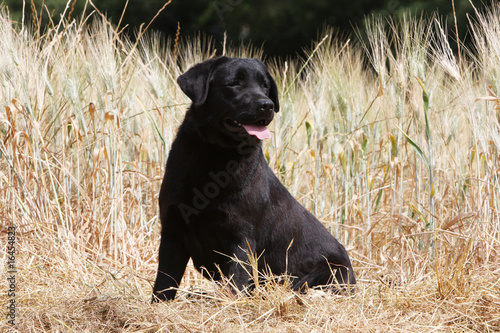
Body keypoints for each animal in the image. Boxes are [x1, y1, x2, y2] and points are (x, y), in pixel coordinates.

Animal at [152, 56, 356, 300]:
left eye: (264, 86)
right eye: (234, 84)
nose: (267, 105)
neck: (214, 158)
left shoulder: (241, 237)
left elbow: (236, 281)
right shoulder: (172, 230)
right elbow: (163, 283)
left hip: (324, 274)